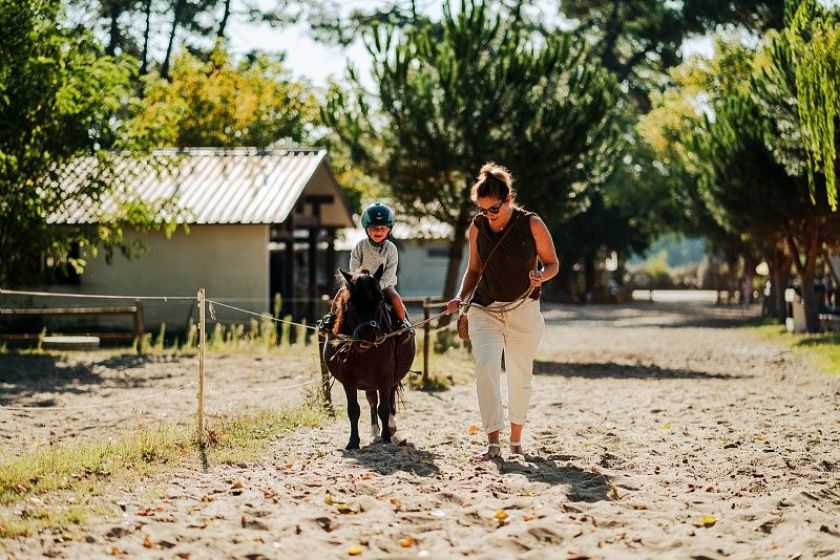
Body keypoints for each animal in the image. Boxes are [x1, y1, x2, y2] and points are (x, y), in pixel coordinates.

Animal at [324, 264, 416, 450]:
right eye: (351, 302)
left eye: (380, 300)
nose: (368, 333)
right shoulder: (348, 380)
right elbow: (354, 410)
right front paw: (353, 442)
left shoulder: (385, 376)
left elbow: (384, 408)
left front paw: (387, 437)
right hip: (369, 382)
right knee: (372, 401)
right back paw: (374, 433)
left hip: (390, 378)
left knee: (389, 402)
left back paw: (390, 428)